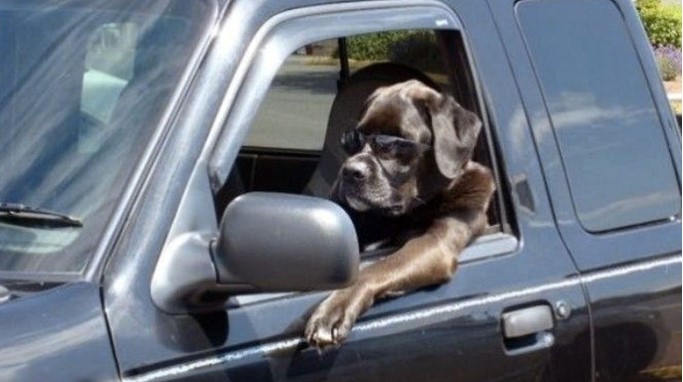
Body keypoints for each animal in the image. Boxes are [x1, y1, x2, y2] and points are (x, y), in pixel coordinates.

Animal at [308, 79, 494, 348]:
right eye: (355, 138)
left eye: (392, 143)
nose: (349, 171)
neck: (398, 217)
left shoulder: (434, 244)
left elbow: (377, 267)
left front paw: (335, 308)